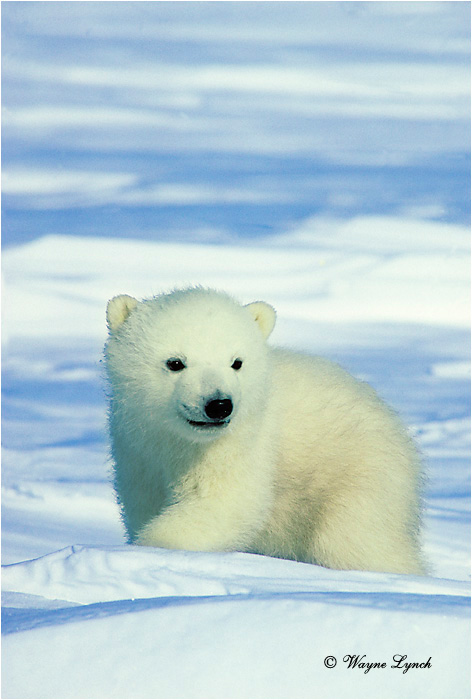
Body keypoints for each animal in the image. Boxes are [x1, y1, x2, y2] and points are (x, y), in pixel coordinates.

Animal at [104, 286, 427, 575]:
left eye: (236, 362)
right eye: (175, 363)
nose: (219, 405)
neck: (179, 441)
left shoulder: (240, 445)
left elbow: (226, 505)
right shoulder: (138, 452)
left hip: (357, 479)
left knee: (354, 542)